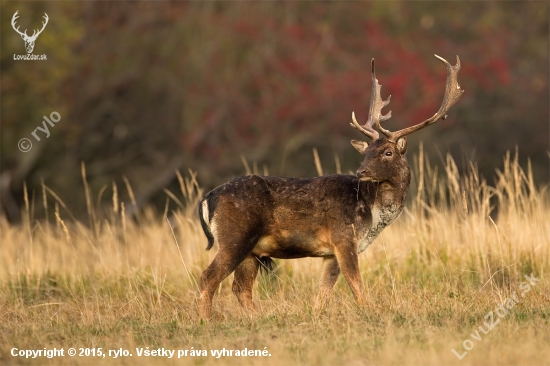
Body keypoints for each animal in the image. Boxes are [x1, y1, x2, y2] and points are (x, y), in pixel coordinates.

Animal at [198, 53, 466, 318]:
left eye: (387, 152)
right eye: (366, 151)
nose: (361, 171)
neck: (372, 214)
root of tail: (209, 197)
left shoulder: (330, 252)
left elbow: (323, 293)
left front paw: (315, 316)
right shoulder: (344, 237)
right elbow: (357, 286)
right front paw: (370, 314)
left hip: (252, 251)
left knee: (240, 288)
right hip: (236, 237)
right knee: (207, 278)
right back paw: (206, 321)